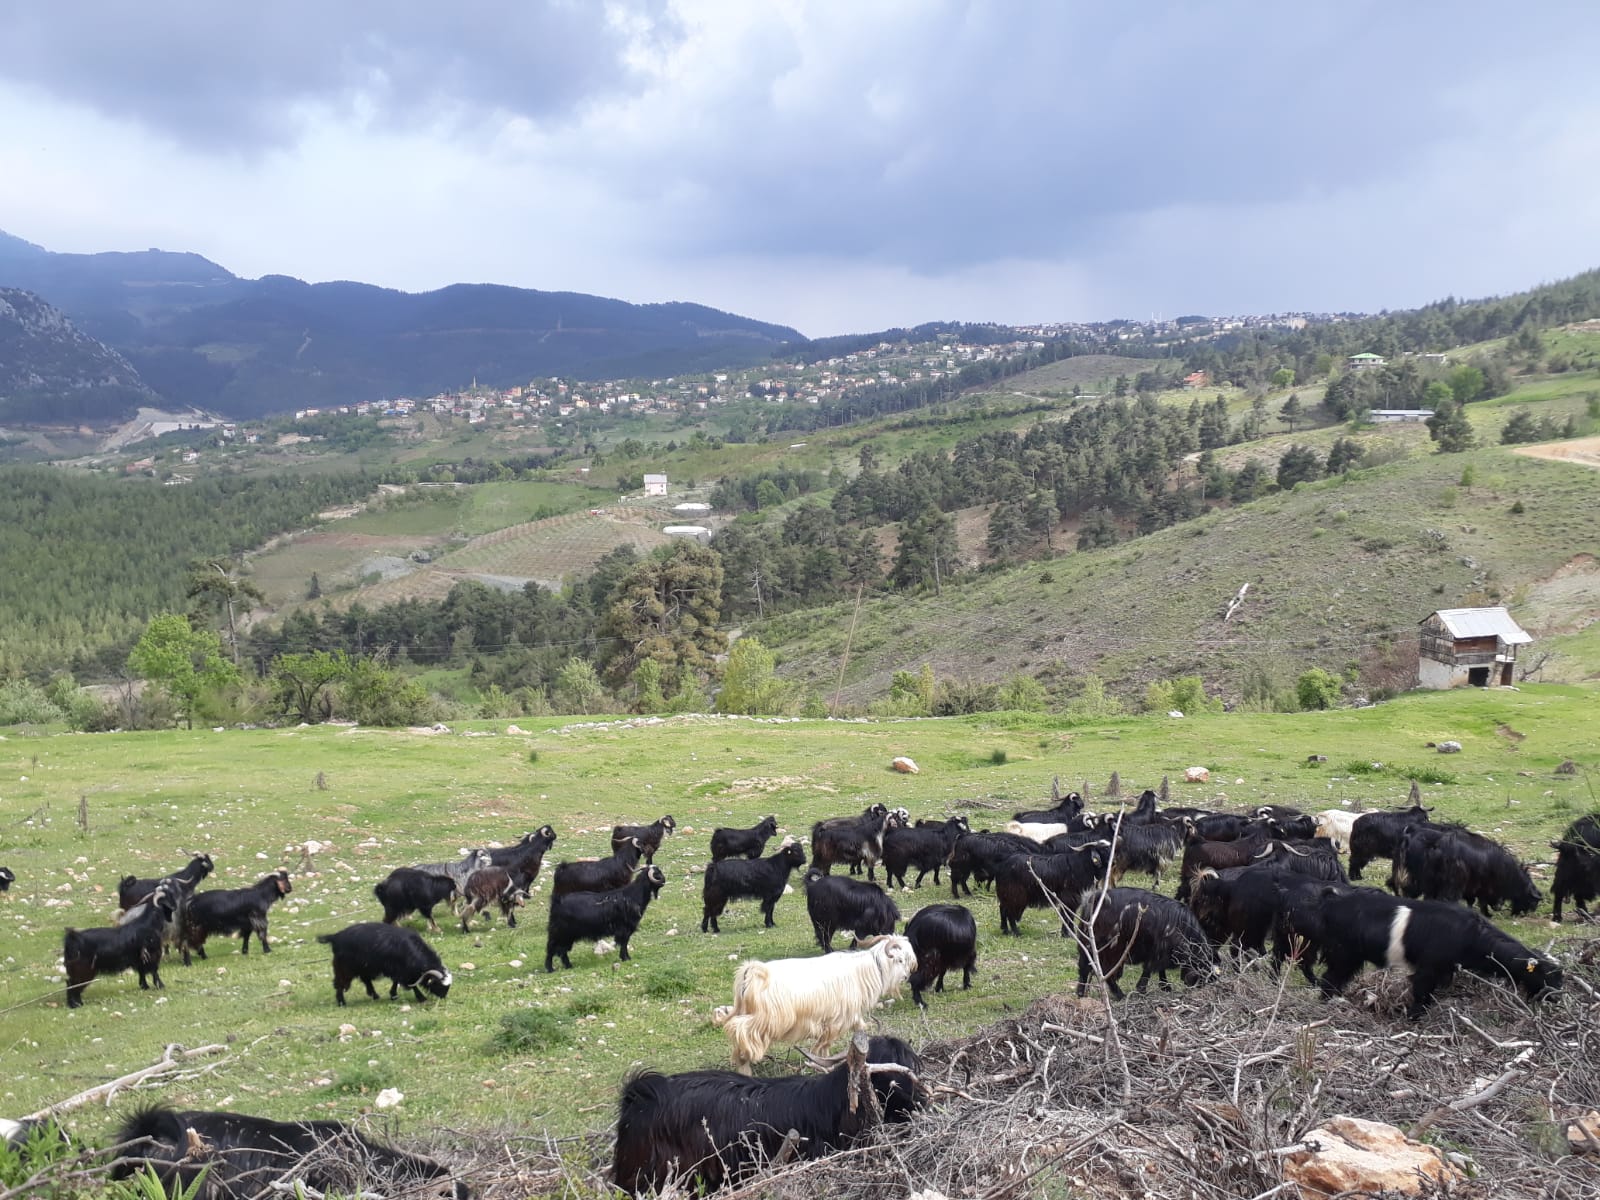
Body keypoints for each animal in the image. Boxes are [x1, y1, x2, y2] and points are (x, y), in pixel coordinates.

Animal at [710, 934, 915, 1075]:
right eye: (900, 959)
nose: (907, 977)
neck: (866, 971)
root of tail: (752, 971)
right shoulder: (837, 1020)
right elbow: (825, 1046)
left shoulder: (845, 1019)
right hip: (768, 1019)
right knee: (739, 1028)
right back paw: (746, 1064)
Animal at [1081, 889, 1216, 998]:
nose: (1195, 989)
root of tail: (1096, 898)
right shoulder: (1157, 954)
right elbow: (1149, 971)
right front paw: (1143, 990)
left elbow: (1159, 971)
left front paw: (1165, 987)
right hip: (1111, 950)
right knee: (1105, 972)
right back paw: (1120, 995)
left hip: (1089, 944)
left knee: (1085, 967)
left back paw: (1081, 993)